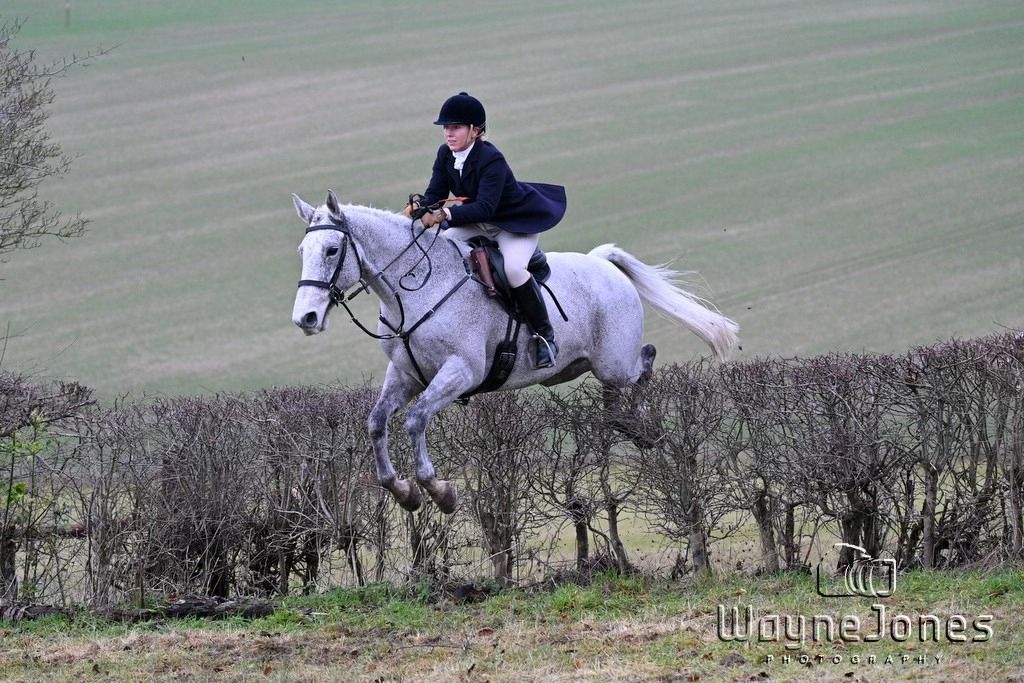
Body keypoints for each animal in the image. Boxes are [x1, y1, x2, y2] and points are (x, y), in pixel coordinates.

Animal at [288, 189, 737, 516]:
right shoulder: (406, 374)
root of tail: (602, 262)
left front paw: (440, 491)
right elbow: (377, 422)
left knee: (645, 360)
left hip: (615, 363)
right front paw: (404, 492)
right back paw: (628, 423)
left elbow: (416, 421)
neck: (414, 290)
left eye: (332, 250)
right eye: (303, 252)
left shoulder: (461, 372)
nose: (305, 318)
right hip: (589, 367)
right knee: (619, 392)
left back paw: (645, 427)